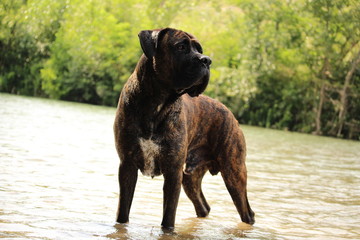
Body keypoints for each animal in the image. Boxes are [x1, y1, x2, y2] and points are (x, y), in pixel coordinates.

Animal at [114, 27, 255, 229]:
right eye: (181, 47)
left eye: (199, 49)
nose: (206, 60)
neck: (157, 103)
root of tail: (229, 112)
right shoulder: (127, 166)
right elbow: (123, 212)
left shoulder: (173, 173)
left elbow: (168, 217)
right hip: (190, 178)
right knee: (203, 207)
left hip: (234, 173)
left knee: (247, 212)